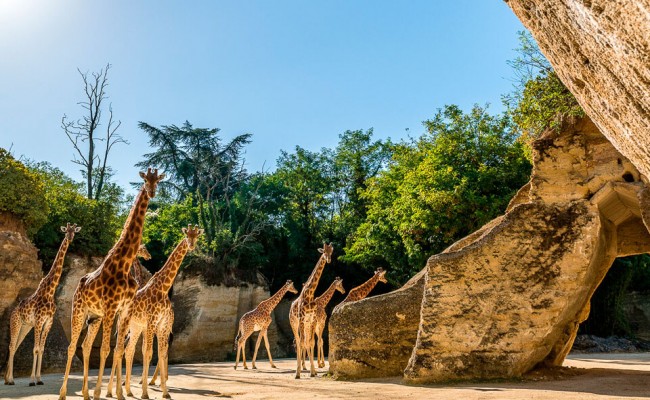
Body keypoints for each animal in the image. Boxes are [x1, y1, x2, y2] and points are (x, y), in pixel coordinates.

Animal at [3, 223, 79, 386]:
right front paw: (32, 380)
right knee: (11, 346)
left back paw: (7, 379)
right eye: (66, 231)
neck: (50, 292)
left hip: (25, 327)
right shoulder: (38, 321)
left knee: (15, 347)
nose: (70, 238)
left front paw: (39, 379)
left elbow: (42, 349)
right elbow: (36, 349)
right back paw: (10, 379)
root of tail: (13, 312)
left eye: (74, 232)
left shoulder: (48, 322)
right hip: (16, 324)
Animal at [58, 169, 163, 400]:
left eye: (158, 181)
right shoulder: (110, 308)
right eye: (145, 180)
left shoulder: (123, 310)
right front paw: (101, 392)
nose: (151, 192)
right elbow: (106, 349)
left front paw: (119, 393)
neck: (124, 263)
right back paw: (63, 393)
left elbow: (117, 350)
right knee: (71, 346)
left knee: (86, 346)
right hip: (79, 311)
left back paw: (85, 393)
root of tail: (78, 286)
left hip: (94, 317)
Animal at [114, 227, 200, 398]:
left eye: (196, 237)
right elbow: (147, 352)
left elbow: (159, 353)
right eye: (187, 235)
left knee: (128, 350)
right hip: (125, 325)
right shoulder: (151, 322)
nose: (191, 246)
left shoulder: (162, 325)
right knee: (119, 349)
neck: (163, 288)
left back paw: (128, 390)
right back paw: (117, 389)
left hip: (135, 327)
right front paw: (145, 391)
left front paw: (164, 391)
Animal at [288, 244, 332, 378]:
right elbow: (302, 343)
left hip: (307, 325)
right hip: (294, 323)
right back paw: (298, 371)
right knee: (298, 342)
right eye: (324, 252)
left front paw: (313, 371)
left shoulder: (311, 320)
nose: (328, 259)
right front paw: (298, 373)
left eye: (331, 251)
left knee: (306, 342)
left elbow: (311, 342)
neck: (310, 294)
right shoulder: (302, 320)